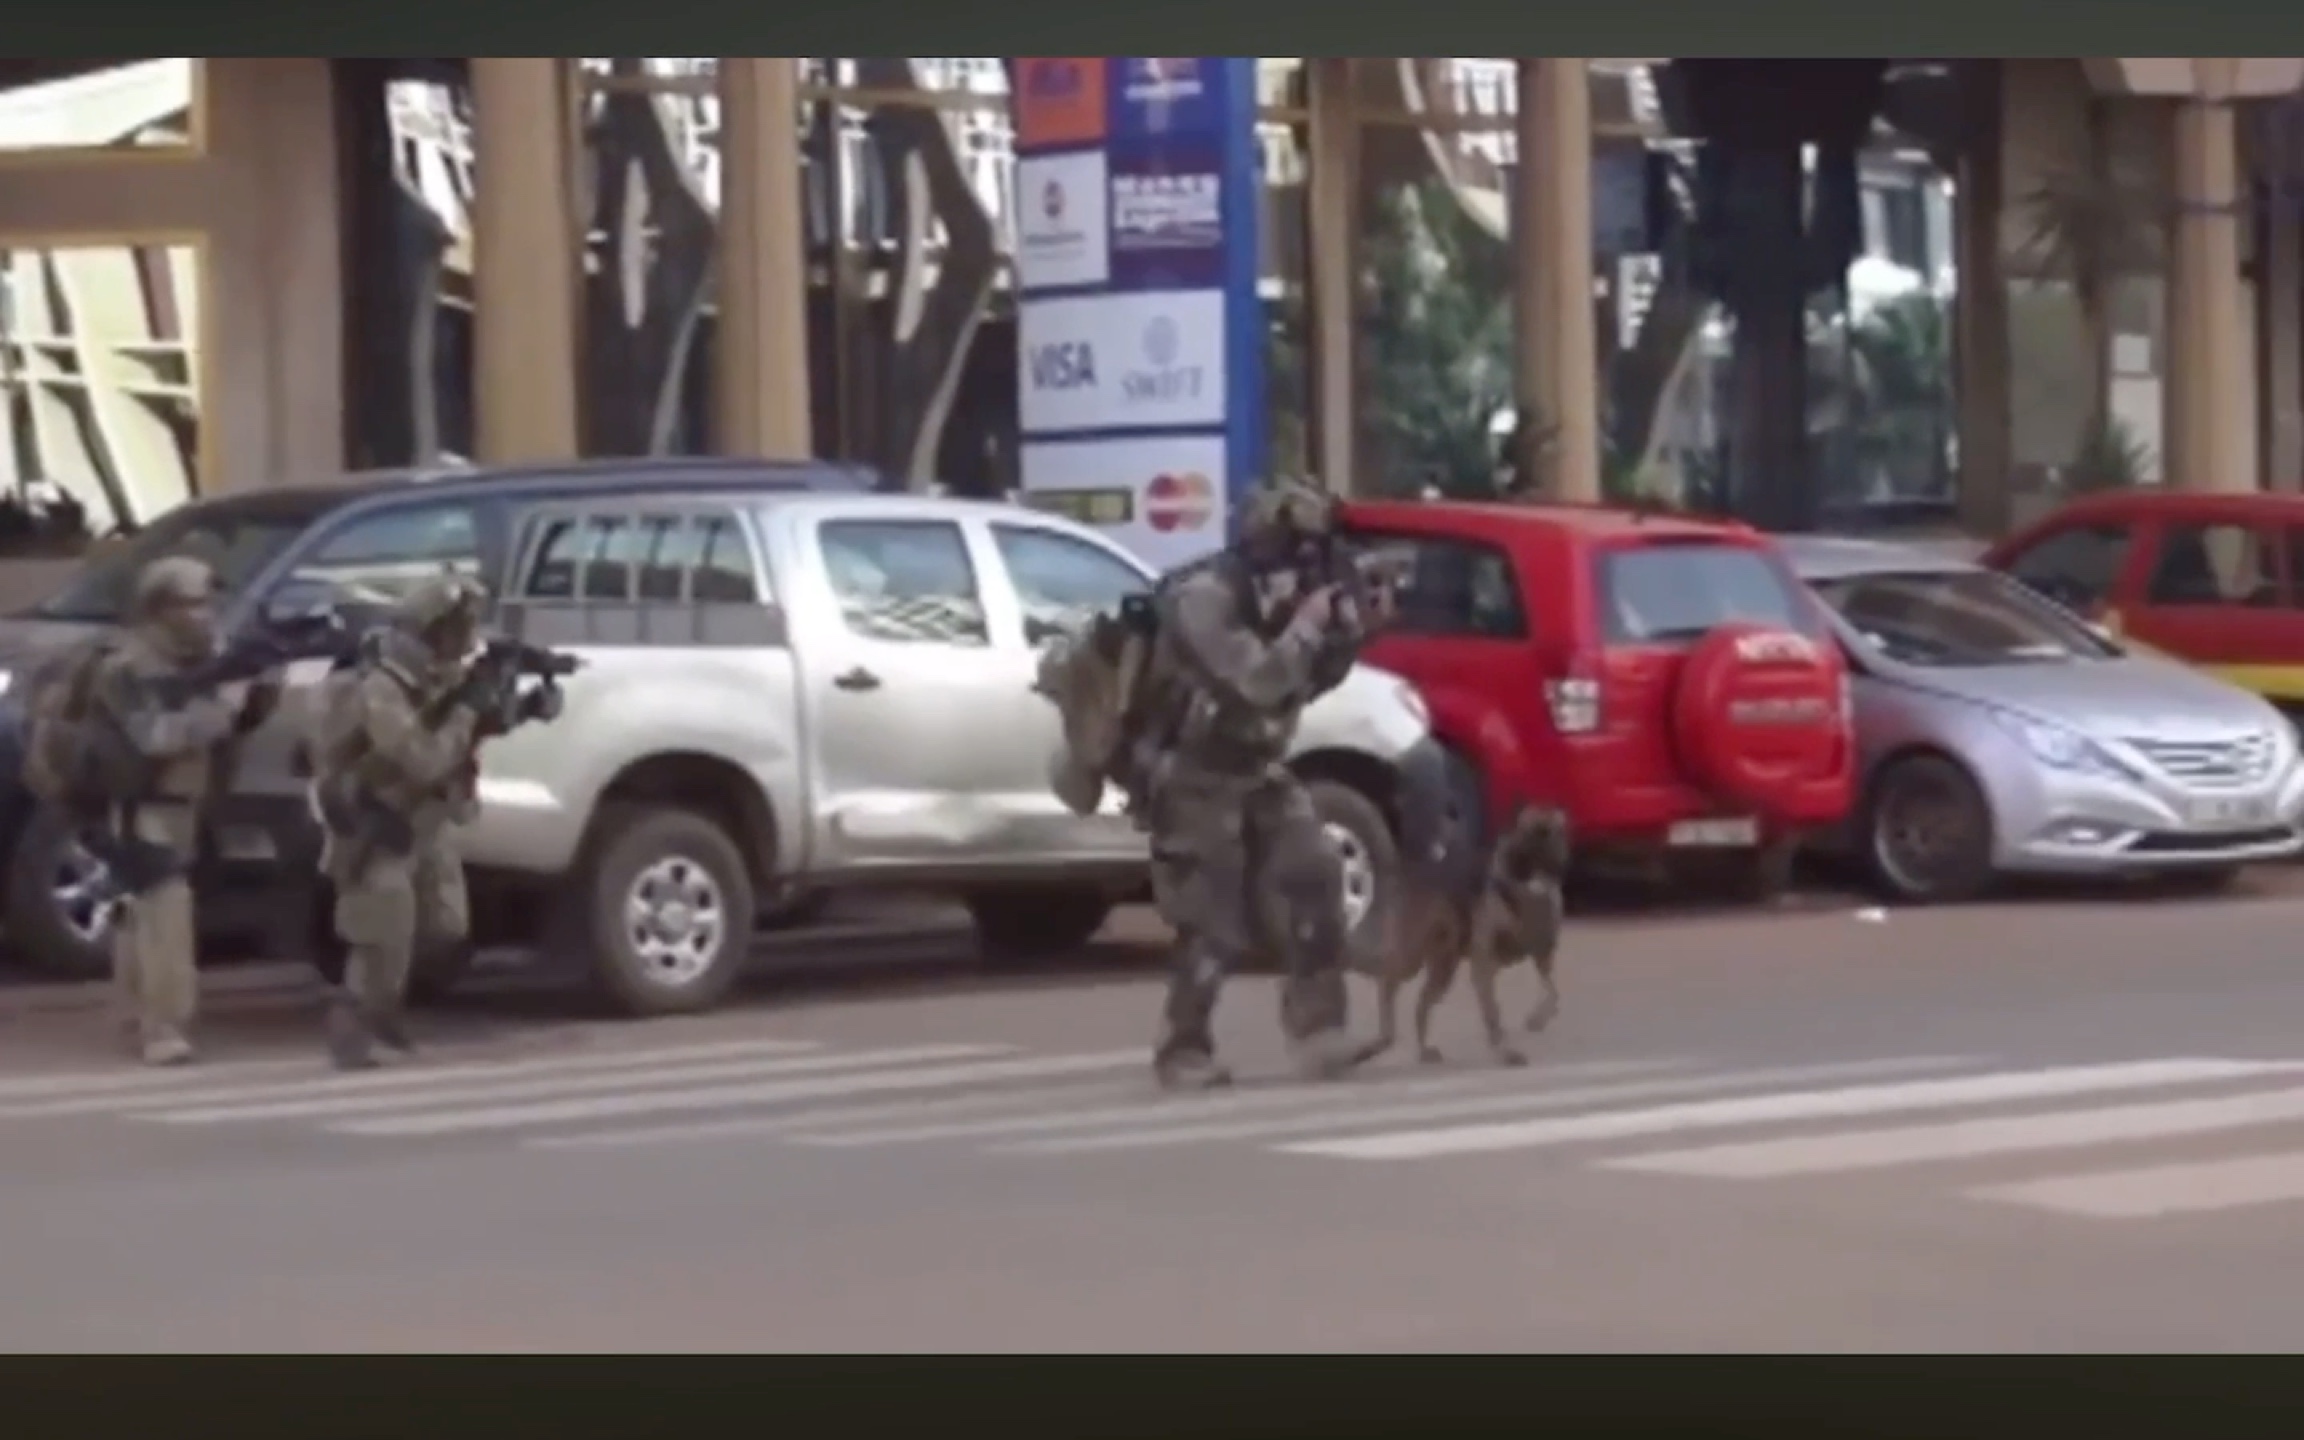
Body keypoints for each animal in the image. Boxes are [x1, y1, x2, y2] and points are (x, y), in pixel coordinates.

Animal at [1354, 811, 1575, 1069]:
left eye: (1550, 835)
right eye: (1523, 834)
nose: (1525, 859)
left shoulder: (1543, 958)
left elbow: (1553, 994)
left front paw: (1537, 1019)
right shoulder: (1484, 966)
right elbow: (1493, 1014)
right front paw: (1506, 1050)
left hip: (1444, 967)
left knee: (1421, 1004)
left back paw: (1423, 1049)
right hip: (1412, 959)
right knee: (1387, 984)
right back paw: (1382, 1037)